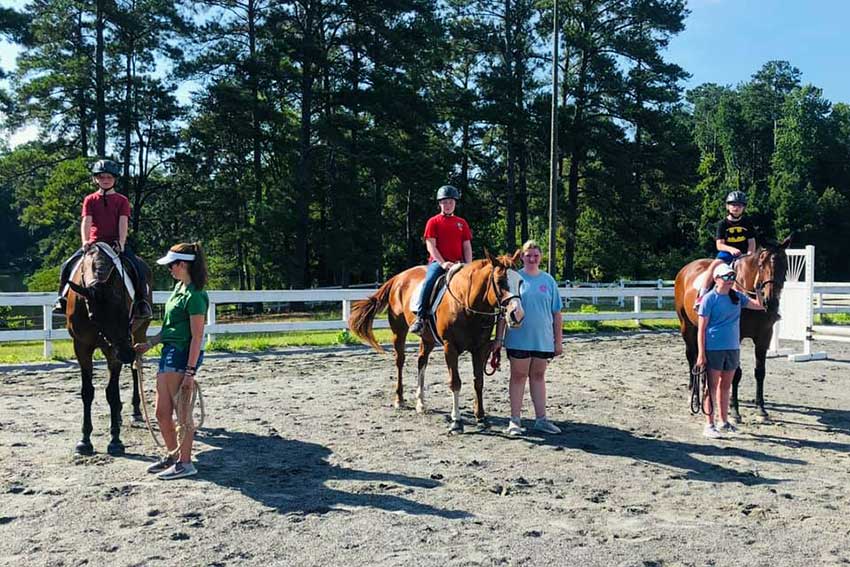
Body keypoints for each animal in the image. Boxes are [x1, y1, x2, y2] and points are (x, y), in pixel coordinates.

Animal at [65, 244, 152, 458]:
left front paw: (115, 441)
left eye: (124, 307)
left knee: (136, 369)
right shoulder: (81, 347)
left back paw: (135, 411)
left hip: (138, 334)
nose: (126, 353)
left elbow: (112, 393)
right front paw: (85, 441)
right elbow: (87, 392)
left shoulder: (114, 350)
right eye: (94, 316)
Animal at [346, 251, 520, 432]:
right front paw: (456, 421)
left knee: (421, 361)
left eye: (520, 281)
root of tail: (397, 278)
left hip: (427, 338)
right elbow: (455, 383)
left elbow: (478, 381)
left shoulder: (480, 348)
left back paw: (421, 402)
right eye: (500, 281)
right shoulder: (450, 347)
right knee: (400, 362)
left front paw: (480, 417)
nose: (516, 314)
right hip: (398, 332)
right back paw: (399, 399)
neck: (466, 304)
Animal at [672, 237, 792, 424]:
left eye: (785, 265)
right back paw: (694, 395)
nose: (770, 302)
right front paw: (735, 411)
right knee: (692, 357)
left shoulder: (764, 337)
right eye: (761, 265)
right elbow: (736, 373)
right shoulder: (736, 337)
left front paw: (761, 410)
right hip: (687, 326)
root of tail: (686, 269)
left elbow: (760, 372)